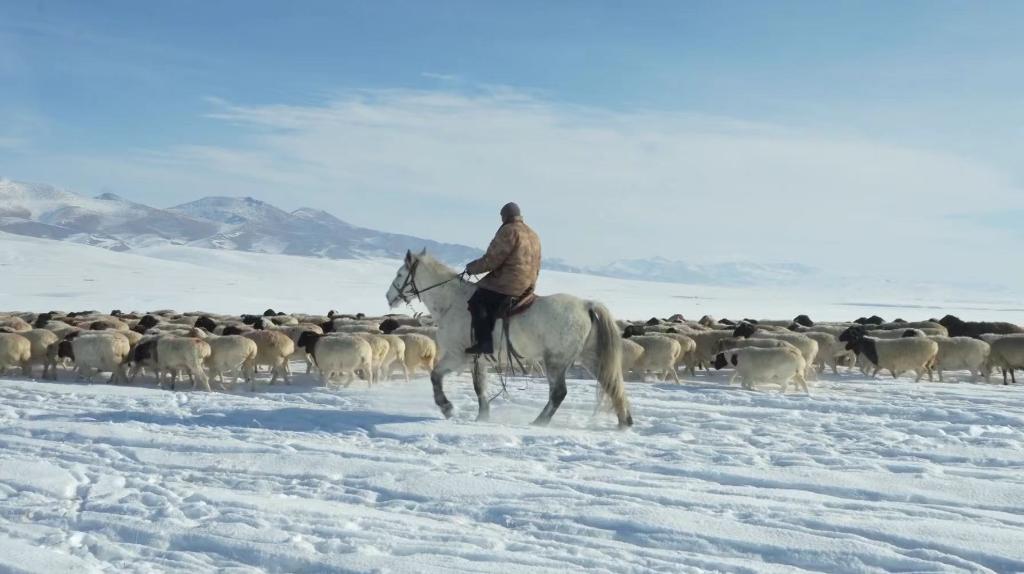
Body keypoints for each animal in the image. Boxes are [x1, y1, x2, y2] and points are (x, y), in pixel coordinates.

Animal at [385, 248, 630, 427]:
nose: (388, 297)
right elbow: (479, 387)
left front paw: (447, 408)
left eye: (399, 274)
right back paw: (624, 421)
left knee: (559, 393)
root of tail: (586, 305)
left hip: (556, 361)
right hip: (589, 357)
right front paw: (482, 416)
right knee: (611, 384)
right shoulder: (477, 359)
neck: (452, 302)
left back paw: (539, 421)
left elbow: (436, 377)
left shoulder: (458, 356)